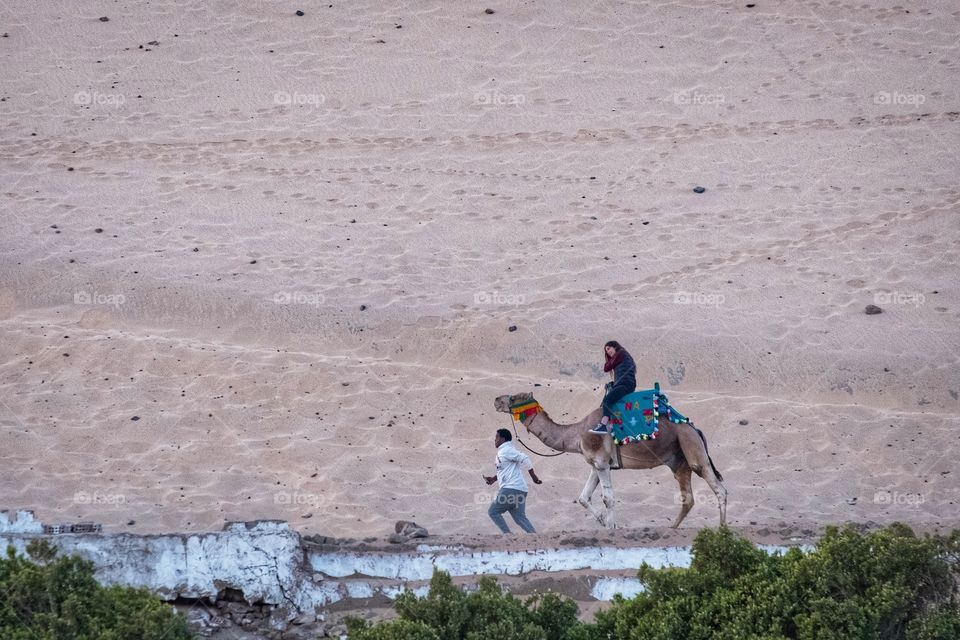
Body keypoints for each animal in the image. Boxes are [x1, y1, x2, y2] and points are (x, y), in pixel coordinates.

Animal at [494, 392, 727, 529]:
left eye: (513, 398)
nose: (496, 400)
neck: (577, 433)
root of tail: (695, 428)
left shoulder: (601, 462)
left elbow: (608, 498)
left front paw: (611, 526)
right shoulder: (597, 464)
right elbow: (583, 497)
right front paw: (603, 521)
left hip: (691, 448)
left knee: (718, 489)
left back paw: (722, 529)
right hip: (678, 461)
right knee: (688, 498)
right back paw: (670, 528)